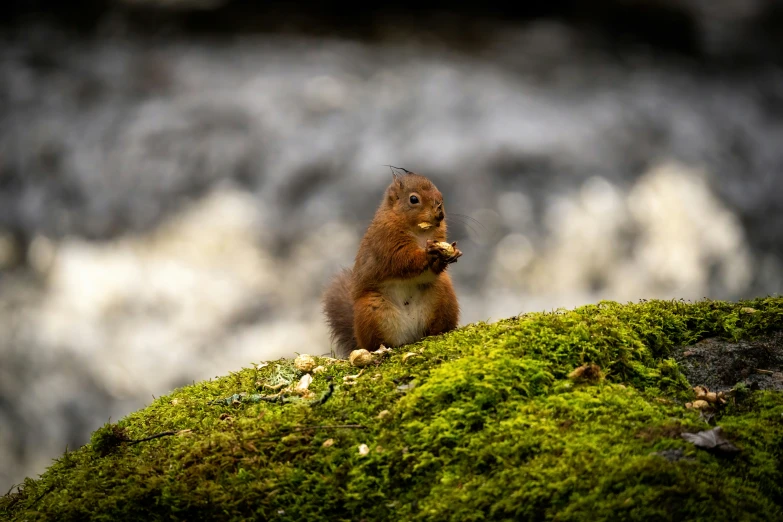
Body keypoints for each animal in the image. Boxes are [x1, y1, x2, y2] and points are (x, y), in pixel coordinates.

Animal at [324, 169, 462, 356]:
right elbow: (403, 261)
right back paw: (382, 349)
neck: (420, 232)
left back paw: (438, 332)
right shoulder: (386, 242)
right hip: (371, 311)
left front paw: (452, 253)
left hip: (443, 296)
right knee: (376, 342)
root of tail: (411, 337)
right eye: (413, 199)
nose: (440, 215)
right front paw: (429, 253)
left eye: (441, 195)